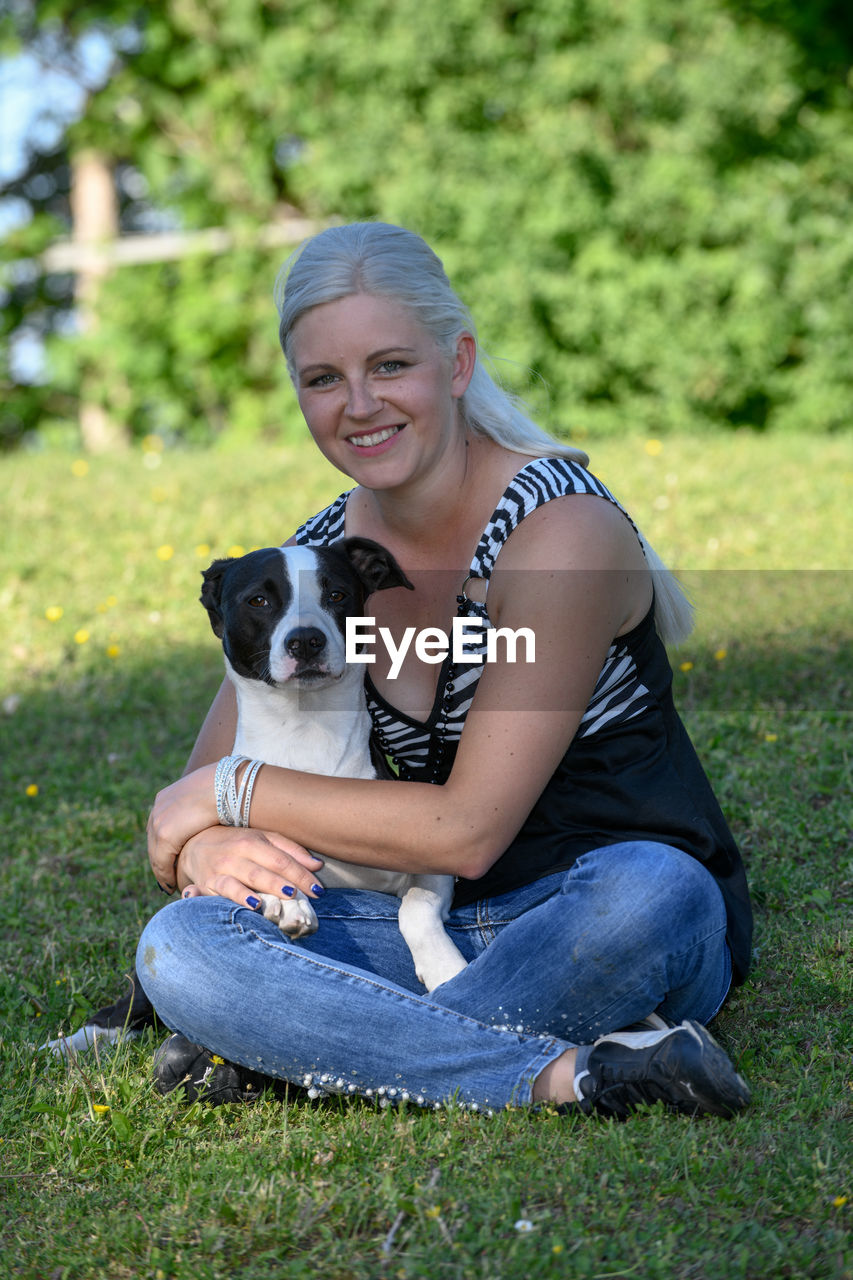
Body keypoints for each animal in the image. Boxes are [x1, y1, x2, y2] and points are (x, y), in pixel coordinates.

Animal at [198, 535, 466, 993]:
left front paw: (444, 965)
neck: (306, 732)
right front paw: (286, 901)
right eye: (258, 600)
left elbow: (416, 904)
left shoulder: (435, 867)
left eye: (337, 595)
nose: (306, 640)